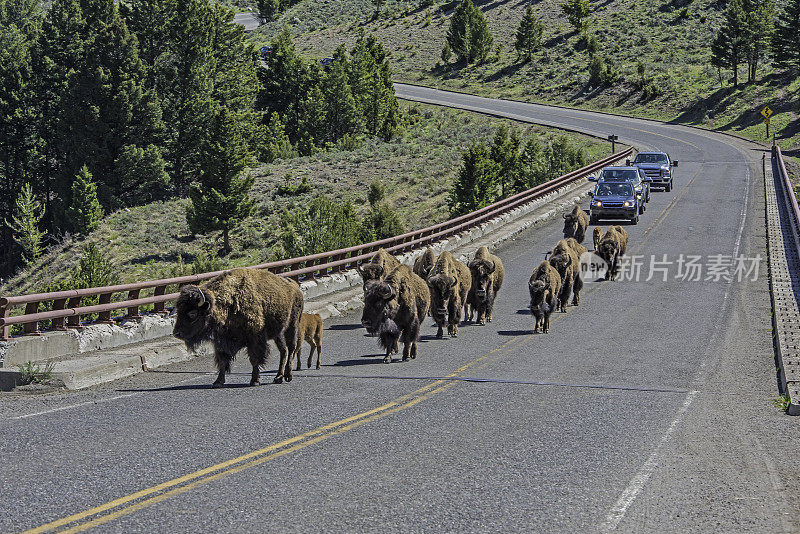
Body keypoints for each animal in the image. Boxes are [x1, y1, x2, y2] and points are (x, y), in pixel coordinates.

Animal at [173, 268, 304, 390]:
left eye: (192, 313)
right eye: (178, 311)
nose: (176, 333)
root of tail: (295, 287)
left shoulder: (255, 339)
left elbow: (254, 359)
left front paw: (255, 381)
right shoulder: (222, 342)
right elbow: (222, 361)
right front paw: (218, 382)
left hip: (293, 325)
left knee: (291, 348)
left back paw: (288, 375)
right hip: (278, 333)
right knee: (283, 350)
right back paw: (278, 377)